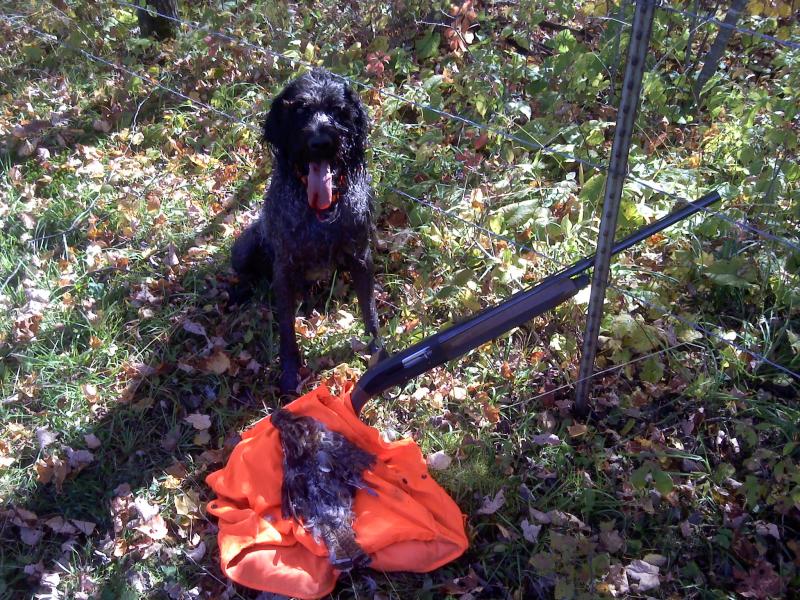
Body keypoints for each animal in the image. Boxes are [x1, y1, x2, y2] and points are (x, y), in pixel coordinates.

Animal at [231, 70, 382, 396]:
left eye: (338, 109)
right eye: (300, 109)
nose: (320, 142)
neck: (320, 212)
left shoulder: (360, 256)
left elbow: (370, 312)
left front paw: (379, 353)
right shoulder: (284, 268)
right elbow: (287, 331)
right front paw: (289, 372)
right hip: (243, 250)